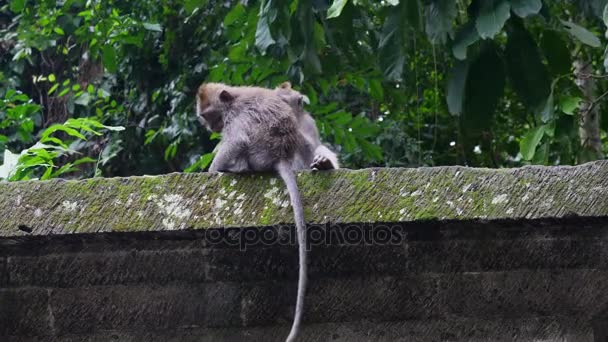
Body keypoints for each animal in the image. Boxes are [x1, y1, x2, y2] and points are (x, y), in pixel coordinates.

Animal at [197, 81, 308, 340]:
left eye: (210, 115)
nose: (210, 127)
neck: (231, 100)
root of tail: (281, 155)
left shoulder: (234, 117)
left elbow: (236, 140)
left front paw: (212, 170)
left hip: (259, 151)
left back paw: (237, 168)